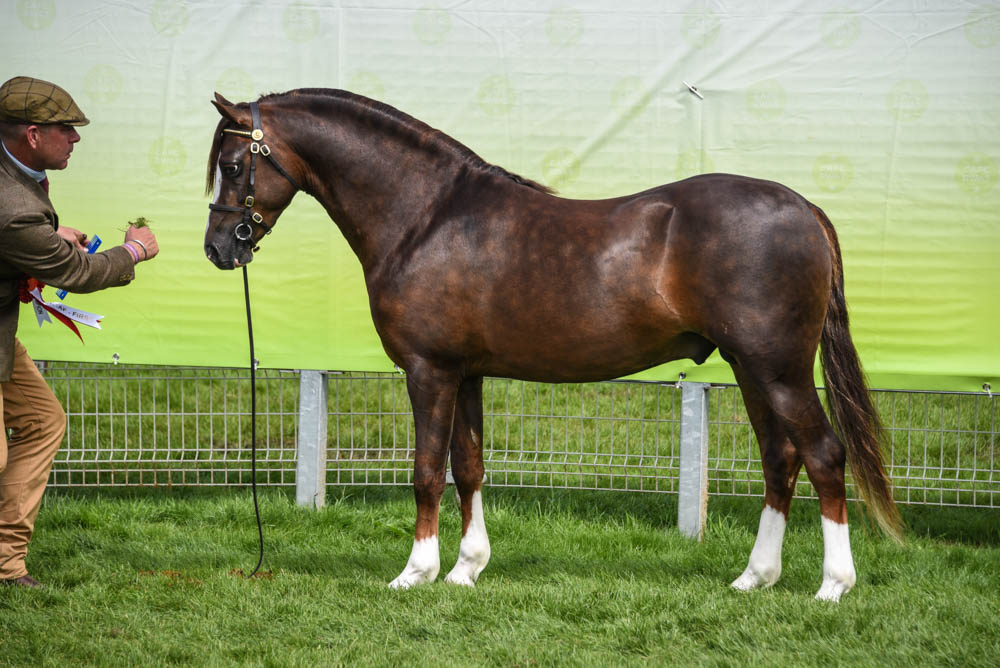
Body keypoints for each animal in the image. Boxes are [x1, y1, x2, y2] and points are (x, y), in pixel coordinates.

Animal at [201, 87, 900, 600]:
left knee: (824, 455)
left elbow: (426, 471)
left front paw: (415, 573)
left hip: (779, 370)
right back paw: (755, 578)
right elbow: (468, 467)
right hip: (754, 371)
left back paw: (833, 586)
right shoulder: (466, 372)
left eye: (233, 166)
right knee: (780, 459)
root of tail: (804, 208)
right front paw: (466, 569)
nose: (218, 249)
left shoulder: (428, 371)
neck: (426, 217)